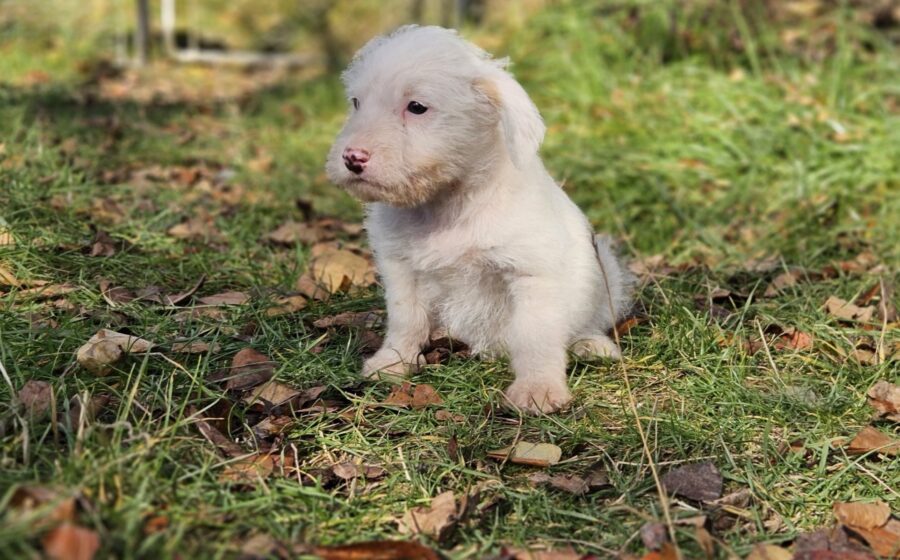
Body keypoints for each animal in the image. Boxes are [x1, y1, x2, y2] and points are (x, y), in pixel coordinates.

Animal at [326, 26, 631, 414]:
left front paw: (538, 388)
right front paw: (393, 361)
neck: (447, 204)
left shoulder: (532, 274)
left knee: (590, 320)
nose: (352, 158)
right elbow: (406, 319)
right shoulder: (400, 269)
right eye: (356, 103)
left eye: (417, 107)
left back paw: (590, 344)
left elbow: (535, 335)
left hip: (605, 272)